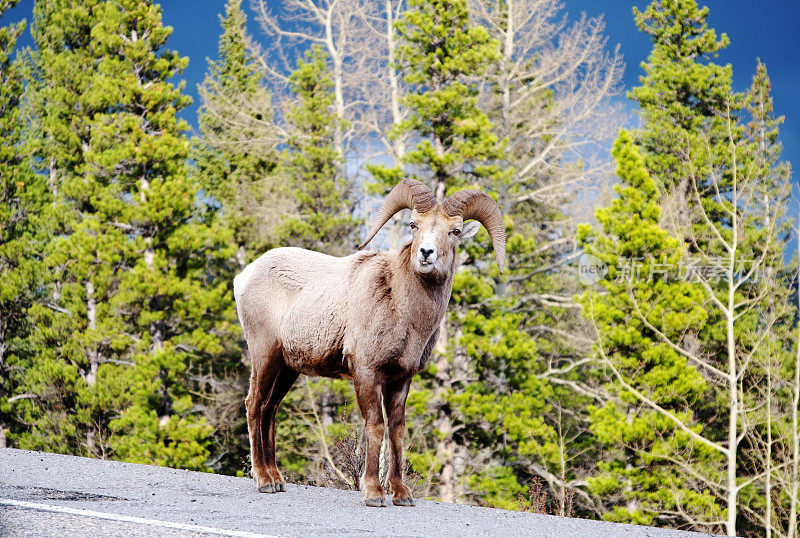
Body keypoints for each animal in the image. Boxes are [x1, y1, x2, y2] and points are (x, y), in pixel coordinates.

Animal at [233, 178, 506, 504]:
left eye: (454, 231)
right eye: (414, 224)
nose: (426, 253)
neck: (403, 309)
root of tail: (244, 277)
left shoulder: (401, 378)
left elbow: (397, 430)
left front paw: (401, 494)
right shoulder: (365, 372)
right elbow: (375, 426)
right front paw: (374, 492)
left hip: (288, 368)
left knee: (270, 408)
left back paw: (277, 479)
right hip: (266, 355)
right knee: (254, 404)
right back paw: (263, 480)